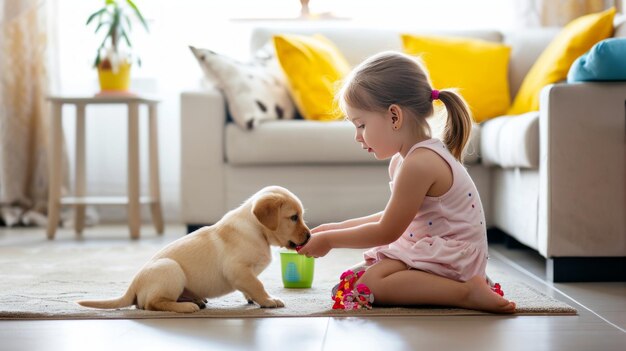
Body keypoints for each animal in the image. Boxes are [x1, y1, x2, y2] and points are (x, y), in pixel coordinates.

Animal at [78, 187, 310, 314]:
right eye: (293, 217)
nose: (309, 236)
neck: (257, 229)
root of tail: (133, 286)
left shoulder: (245, 273)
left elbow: (251, 286)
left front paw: (252, 298)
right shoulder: (237, 269)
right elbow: (257, 285)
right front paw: (269, 300)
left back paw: (195, 299)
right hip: (170, 269)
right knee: (152, 304)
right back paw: (187, 307)